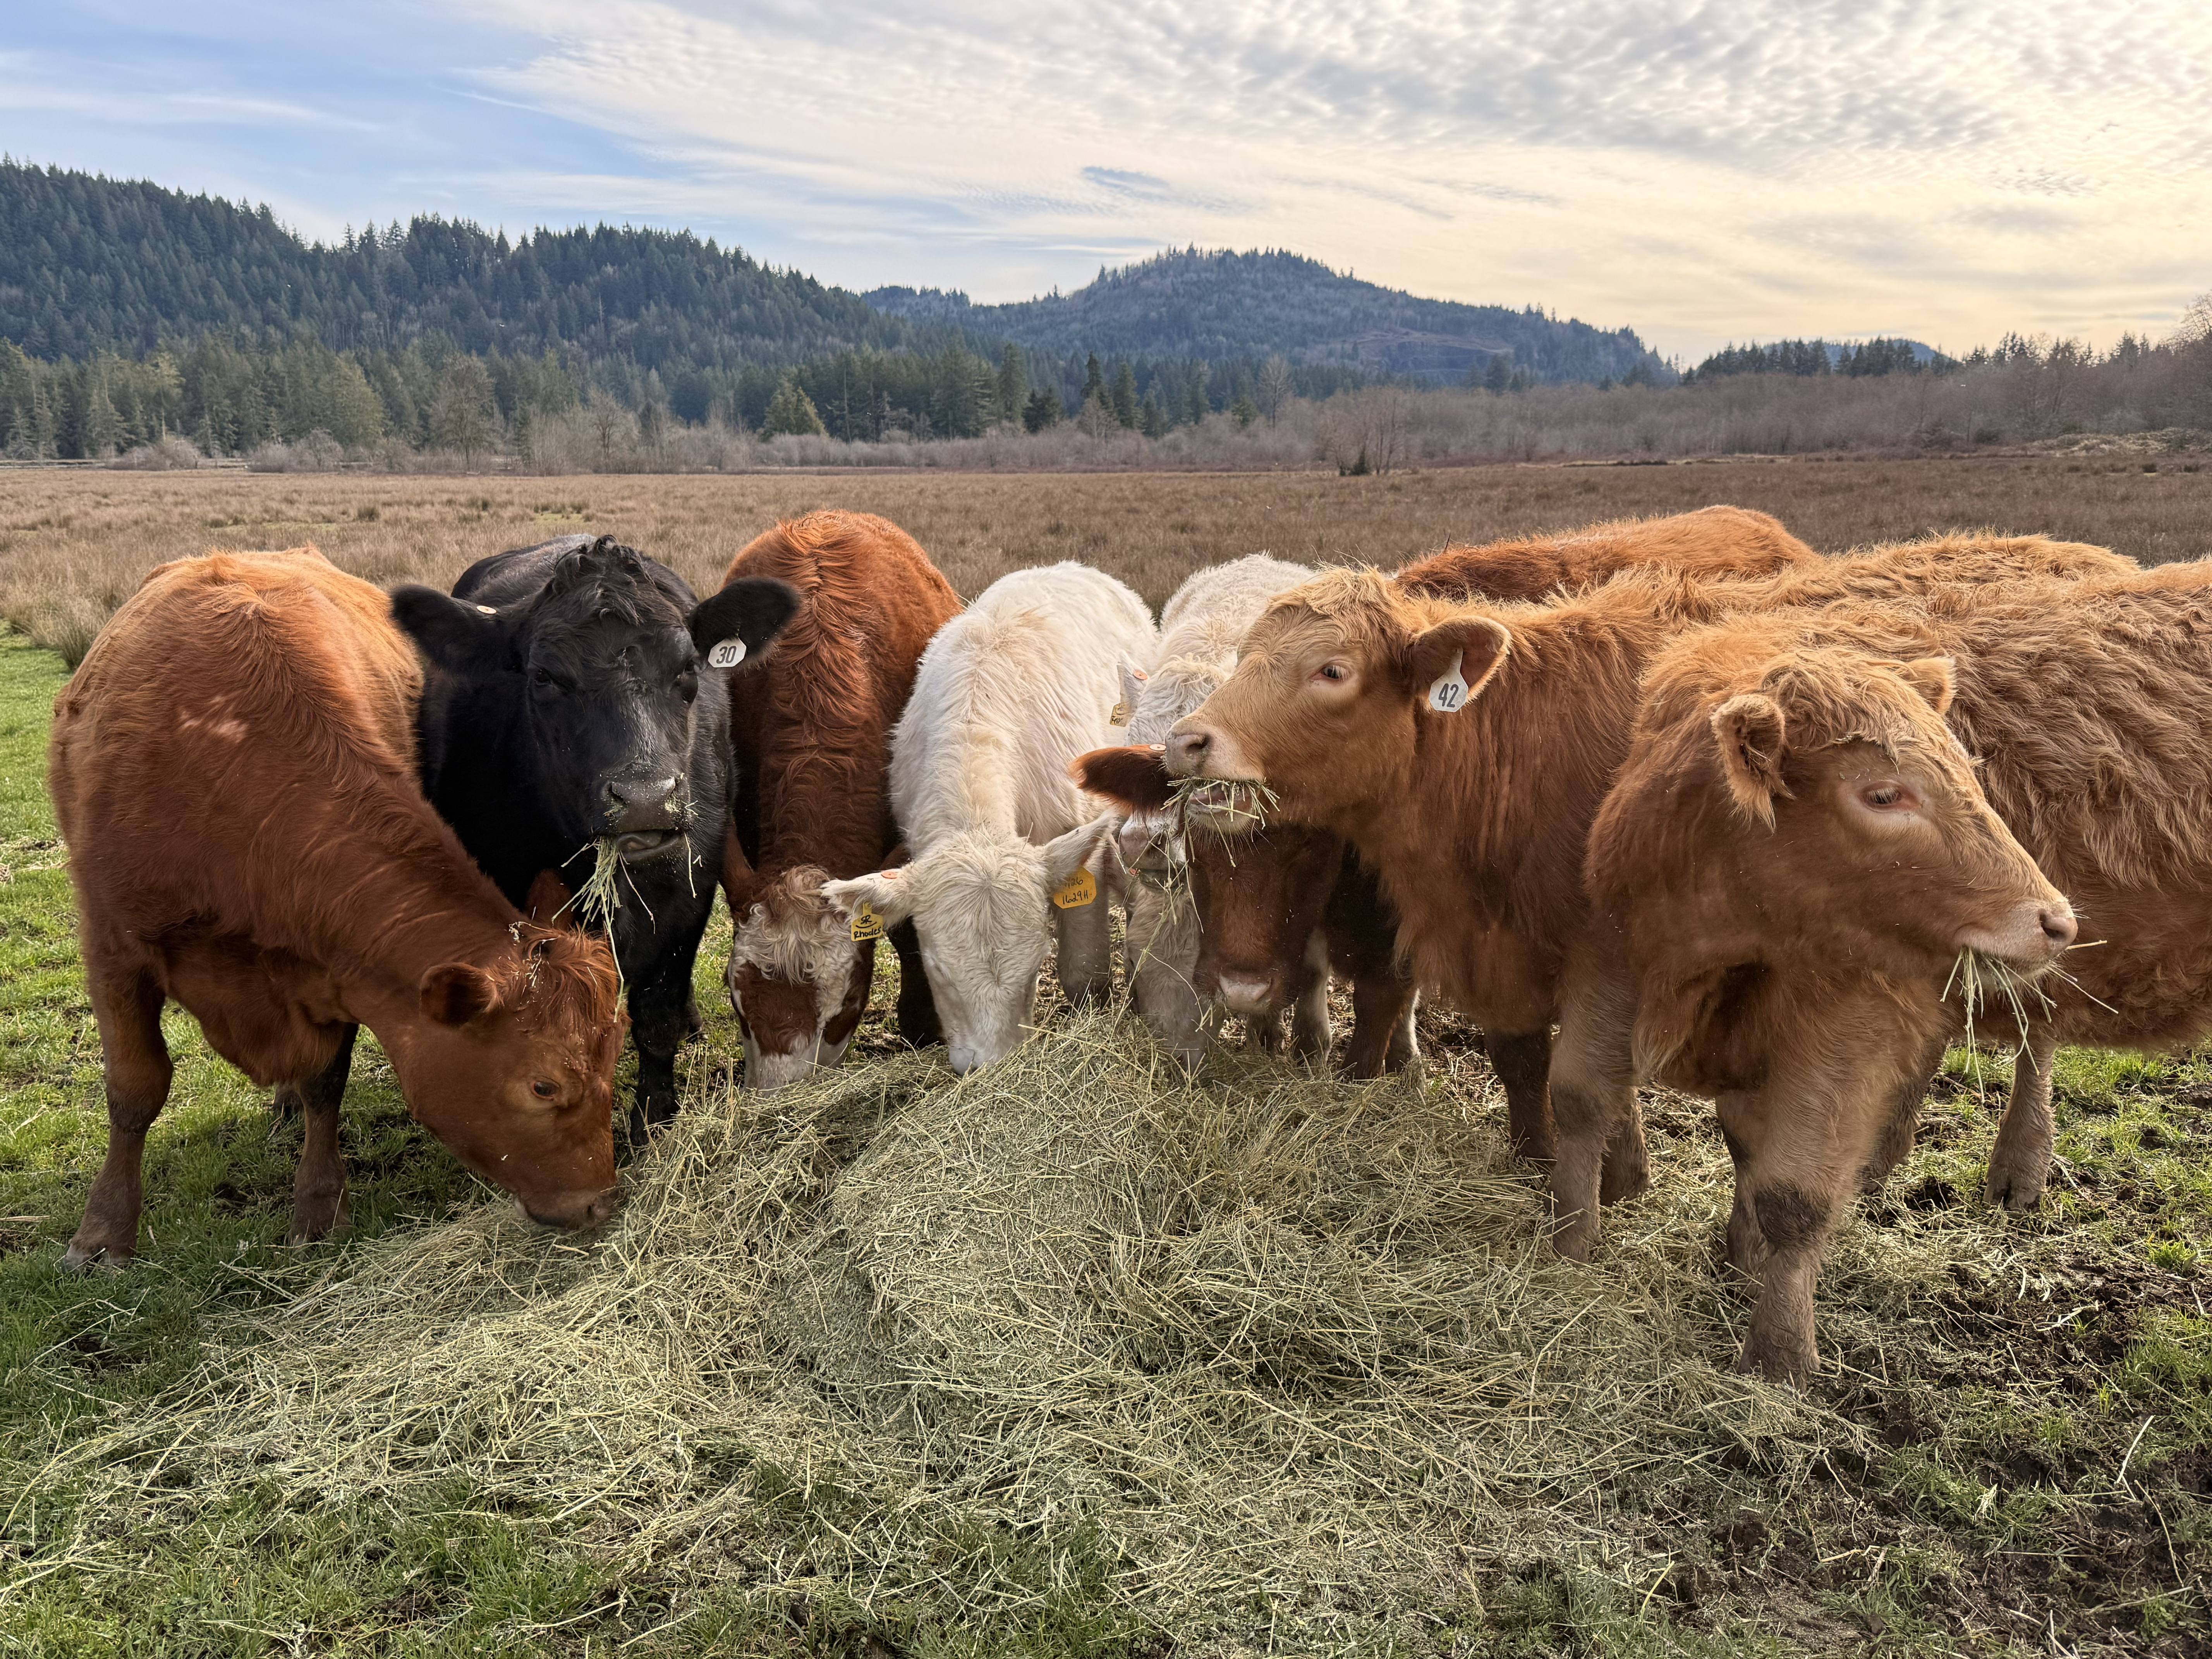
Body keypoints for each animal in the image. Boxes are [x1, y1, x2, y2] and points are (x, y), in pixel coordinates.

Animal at [48, 549, 626, 1268]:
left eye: (615, 1057)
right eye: (544, 1085)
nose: (600, 1203)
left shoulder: (336, 969)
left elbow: (327, 1080)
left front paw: (320, 1206)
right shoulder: (112, 949)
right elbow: (134, 1089)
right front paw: (102, 1233)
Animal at [391, 535, 798, 1137]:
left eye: (688, 667)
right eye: (543, 677)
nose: (646, 797)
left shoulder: (687, 888)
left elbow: (657, 1014)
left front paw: (653, 1121)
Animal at [1163, 531, 2136, 1177]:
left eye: (1331, 670)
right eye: (1247, 656)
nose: (1188, 740)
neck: (1513, 737)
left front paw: (1617, 1173)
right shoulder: (1507, 944)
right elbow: (1523, 1060)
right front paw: (1536, 1155)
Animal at [1551, 611, 2074, 1382]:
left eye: (1966, 773)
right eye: (1883, 793)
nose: (2056, 921)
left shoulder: (1840, 1034)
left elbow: (1795, 1194)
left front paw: (1780, 1353)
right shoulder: (1608, 958)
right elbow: (1583, 1101)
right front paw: (1569, 1244)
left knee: (2035, 1041)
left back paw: (2014, 1167)